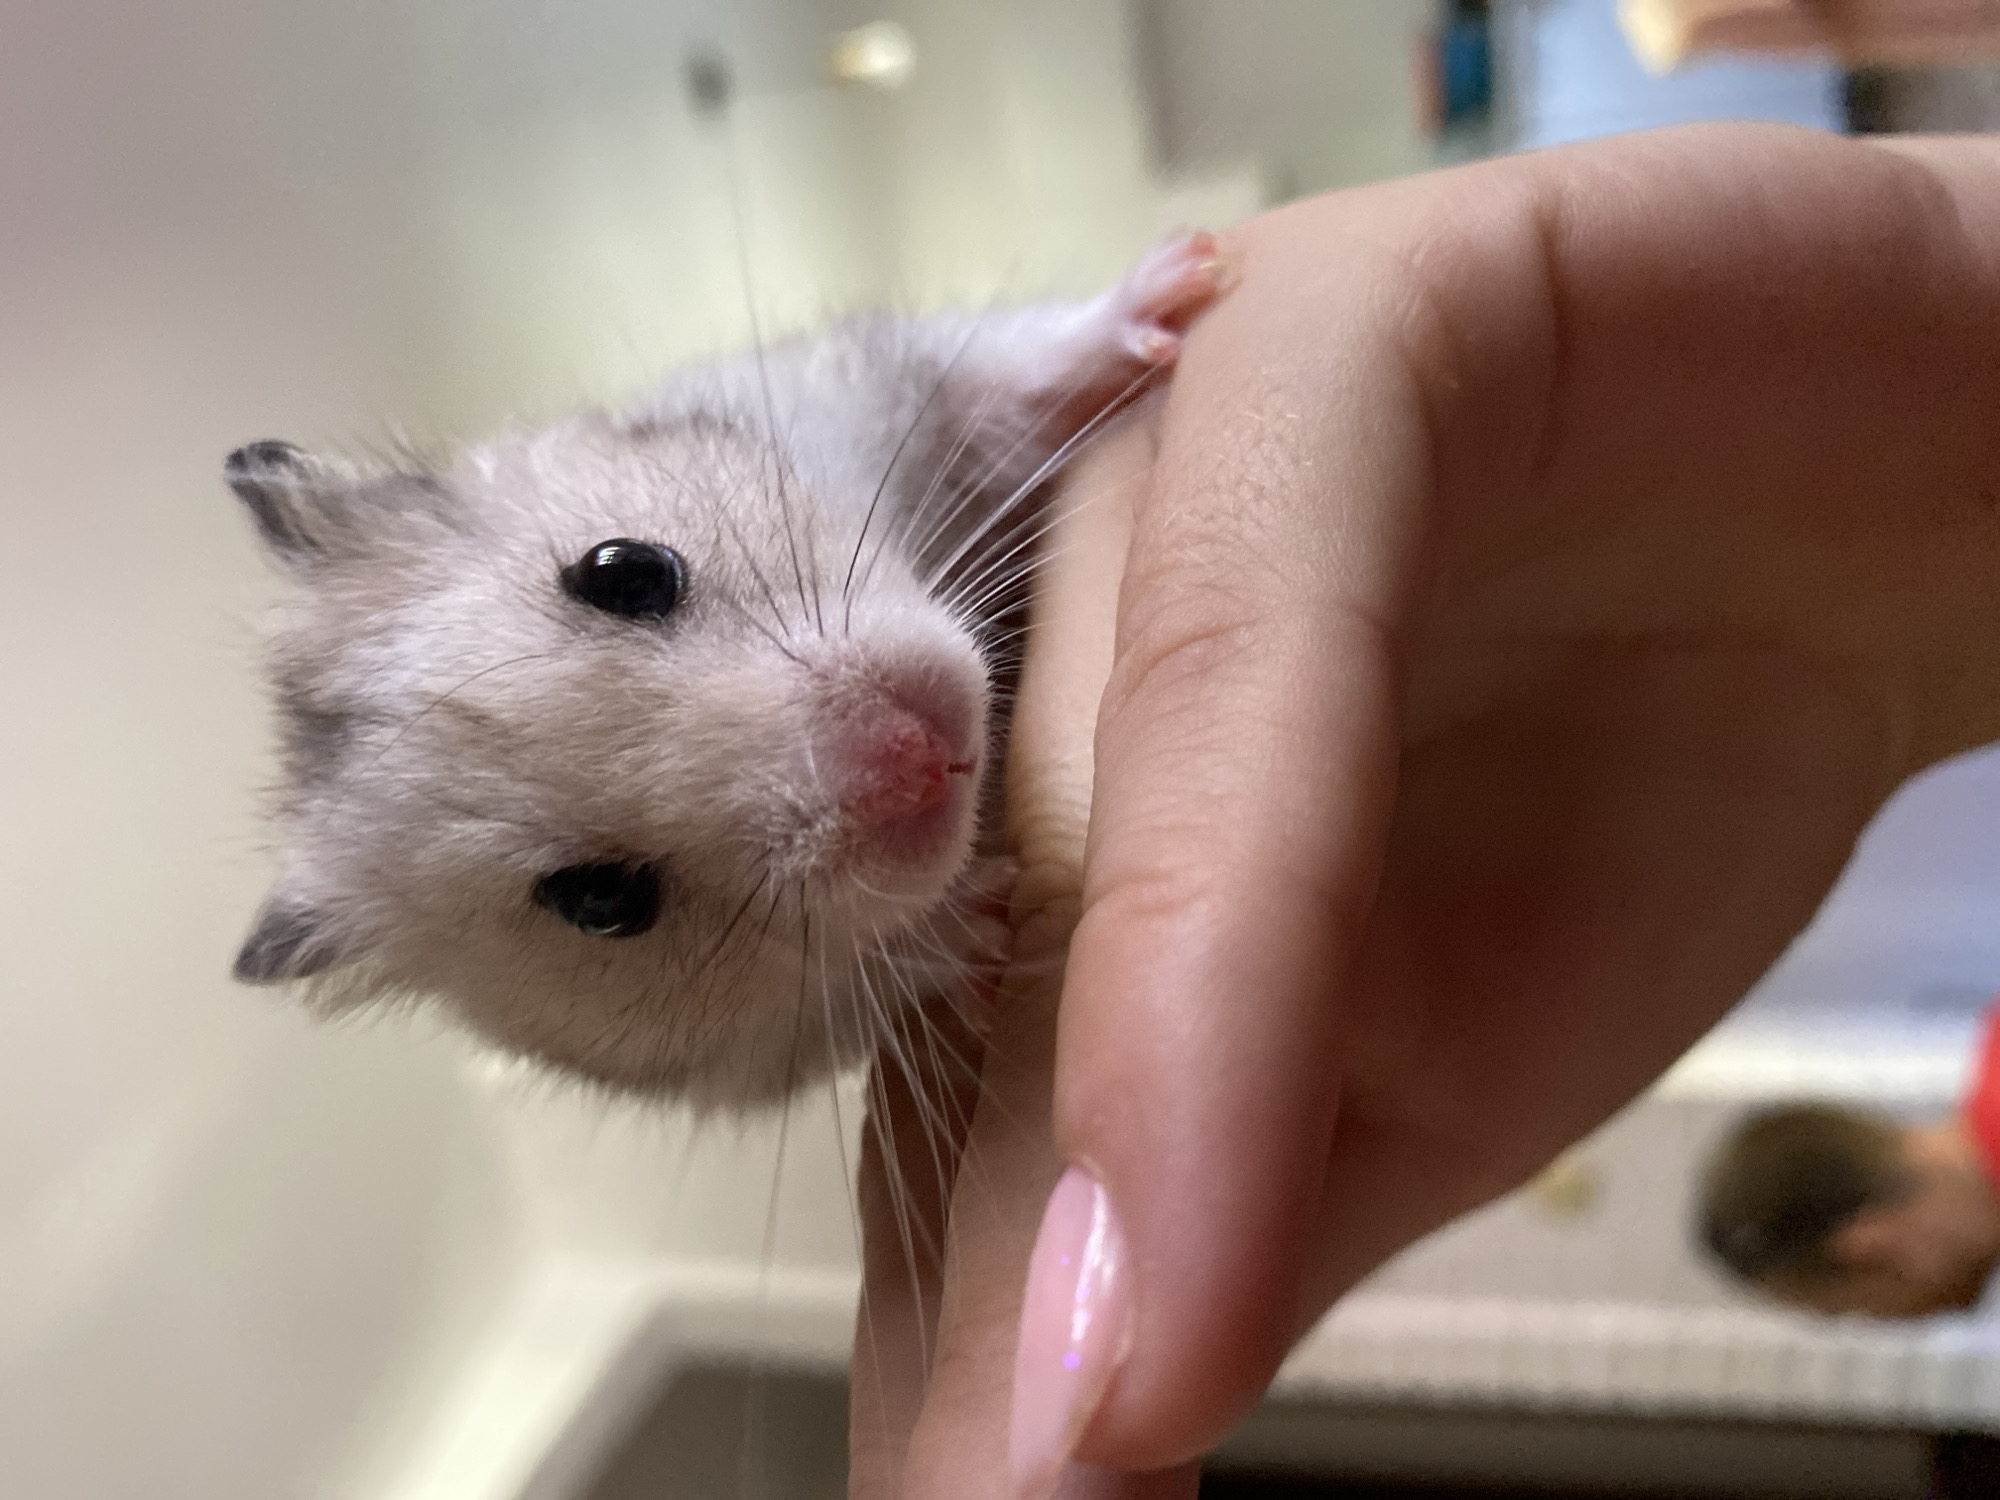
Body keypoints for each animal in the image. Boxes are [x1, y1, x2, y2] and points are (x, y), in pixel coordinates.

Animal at [228, 232, 1224, 1111]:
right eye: (600, 902)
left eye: (625, 571)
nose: (923, 750)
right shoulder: (761, 1056)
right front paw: (987, 920)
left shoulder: (863, 381)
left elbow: (1009, 371)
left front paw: (1185, 278)